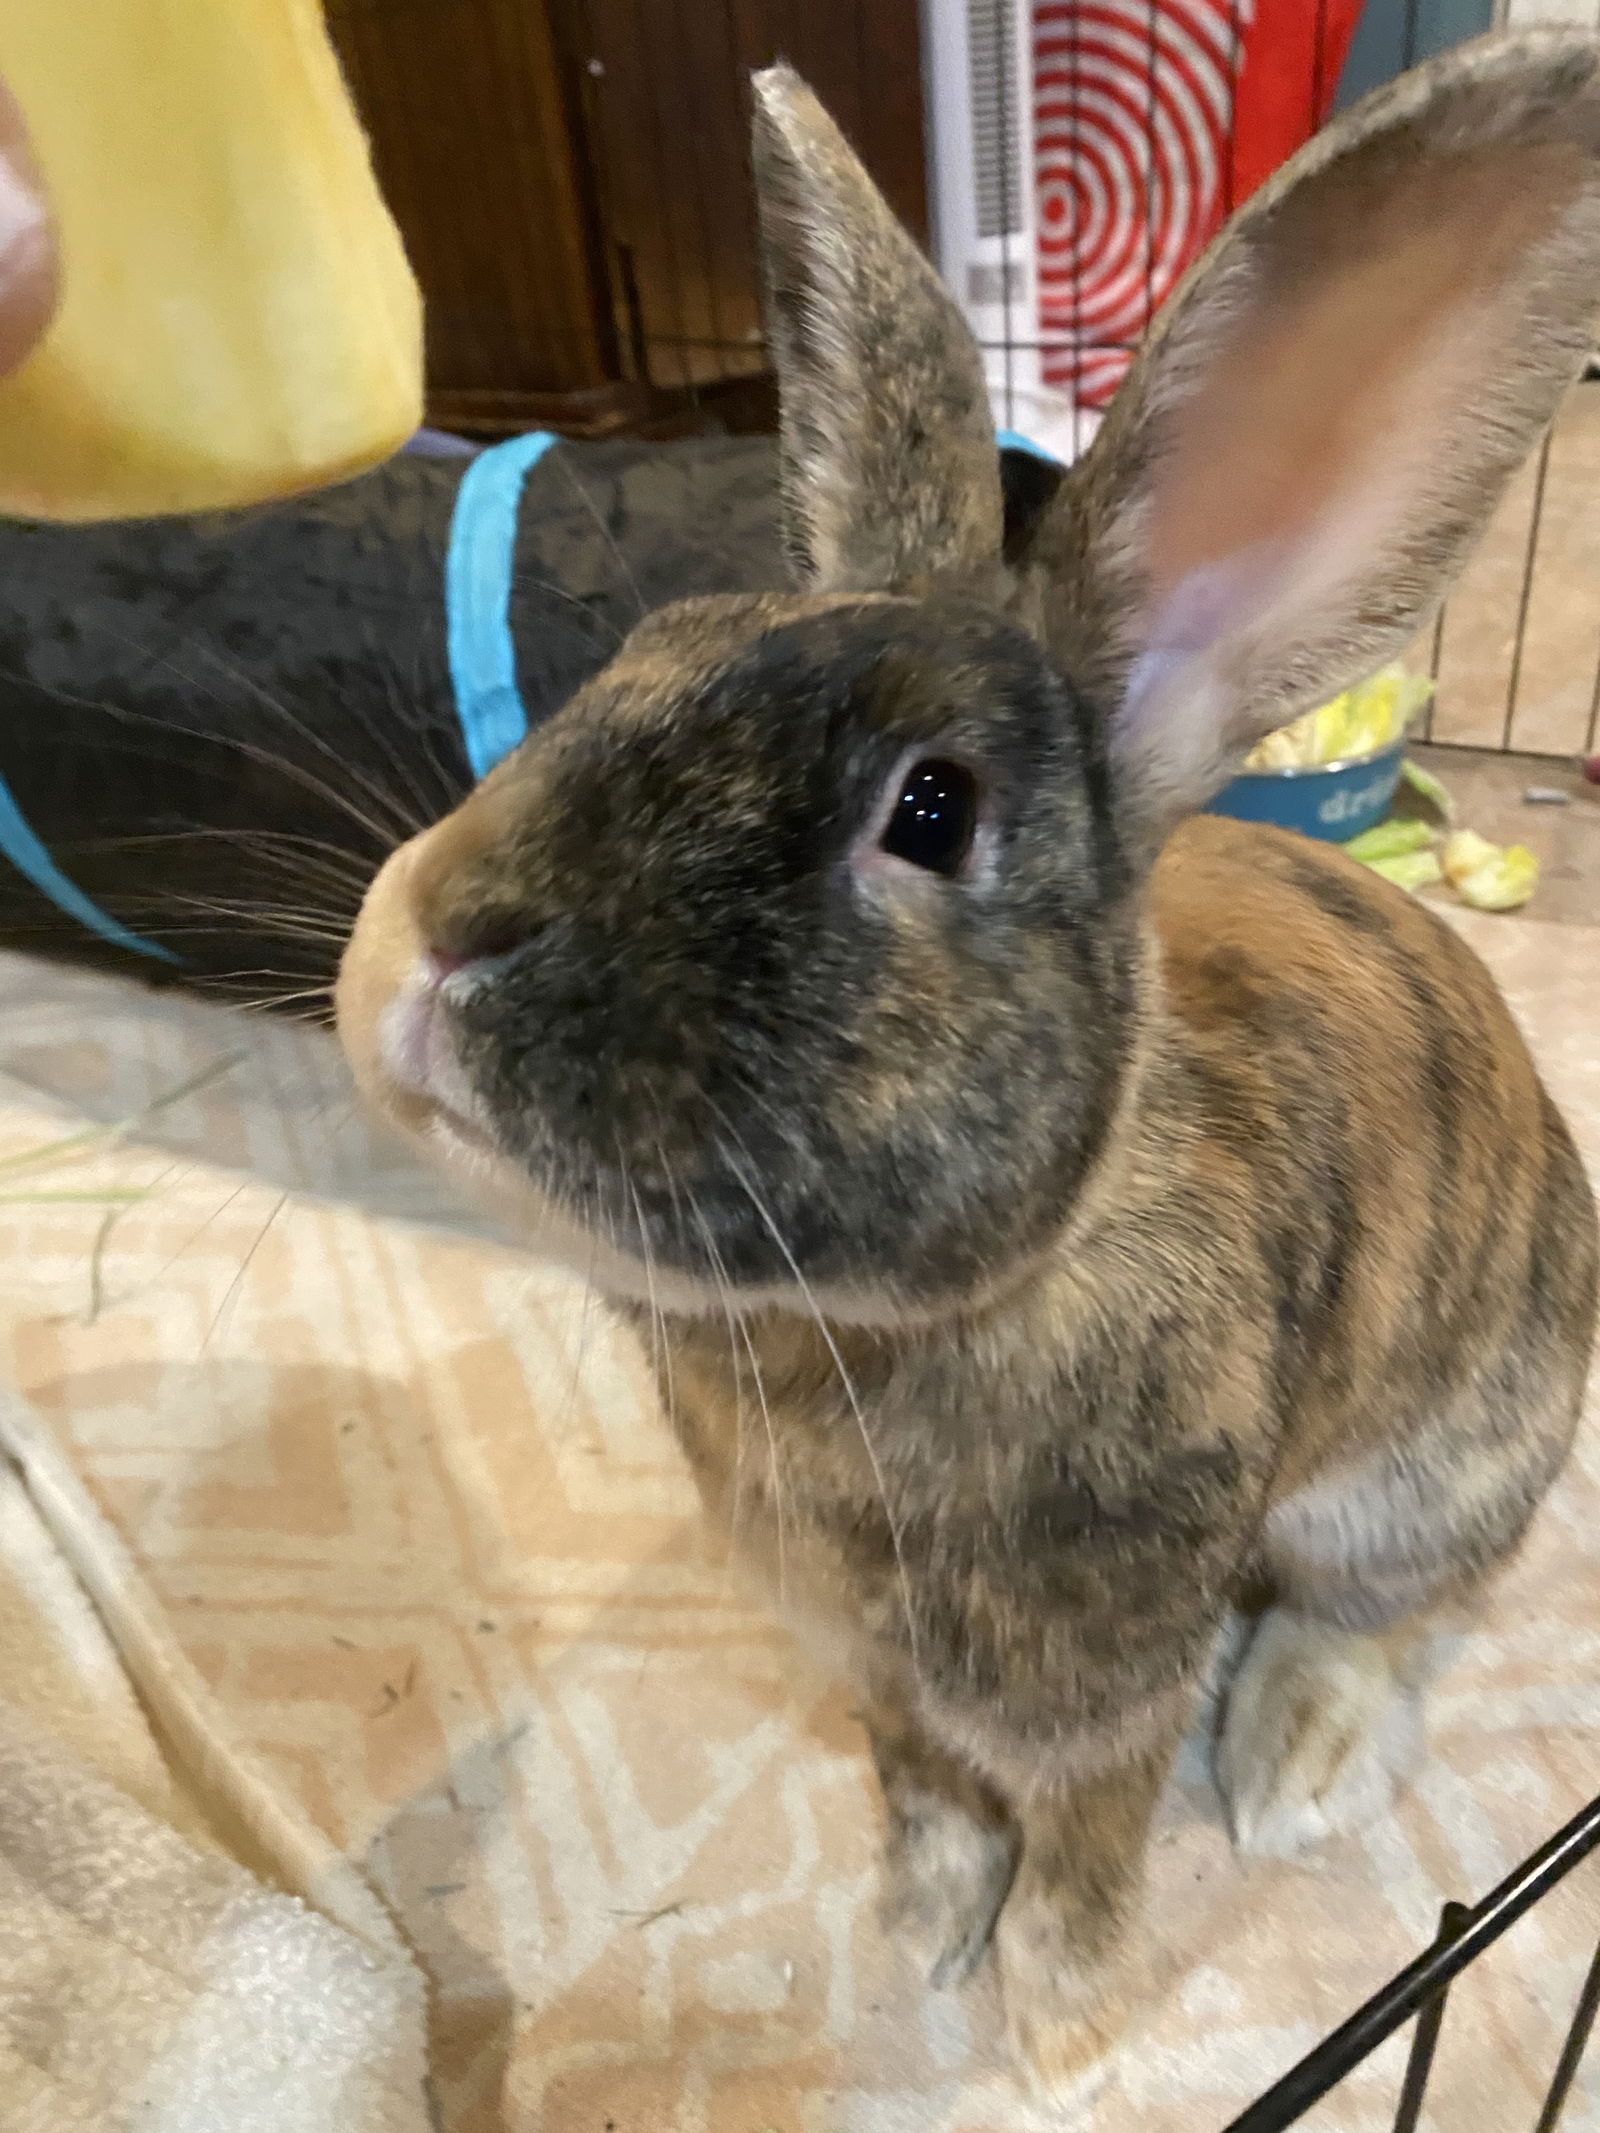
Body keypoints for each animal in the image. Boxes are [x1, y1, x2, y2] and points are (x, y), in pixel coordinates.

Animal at [341, 33, 1600, 2090]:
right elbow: (922, 1797)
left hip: (1420, 1477)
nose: (436, 941)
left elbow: (1087, 1846)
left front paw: (1059, 2026)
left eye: (931, 809)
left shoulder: (1096, 1697)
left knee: (1385, 1612)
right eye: (651, 648)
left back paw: (1295, 1761)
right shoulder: (878, 1674)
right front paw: (918, 1935)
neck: (857, 1344)